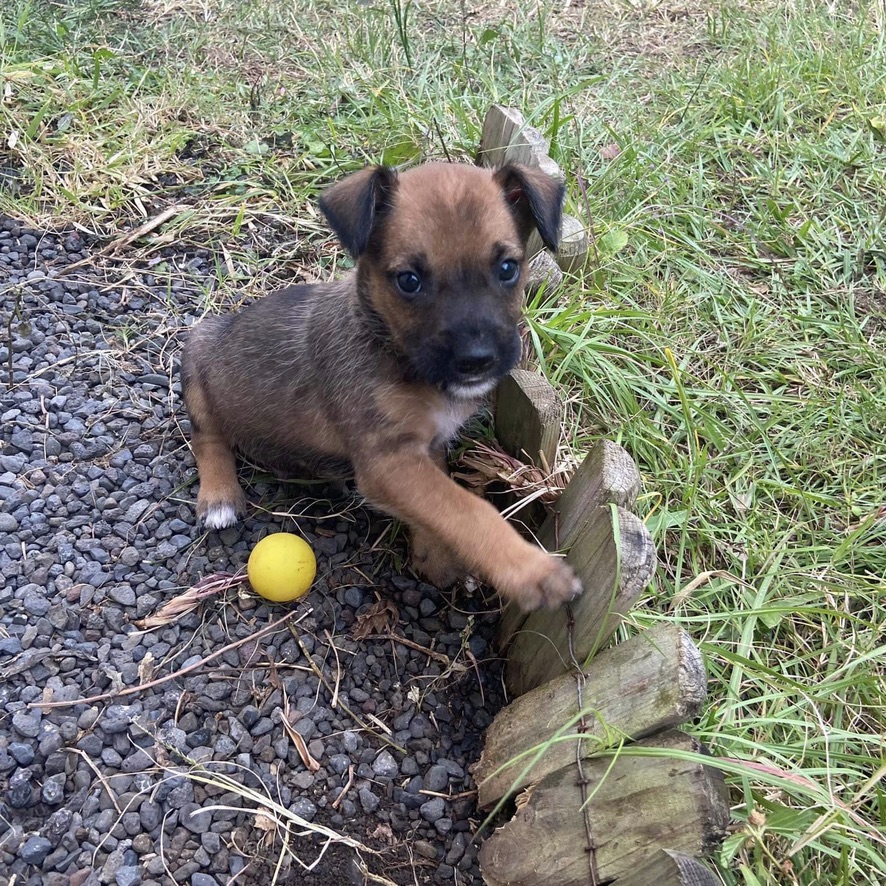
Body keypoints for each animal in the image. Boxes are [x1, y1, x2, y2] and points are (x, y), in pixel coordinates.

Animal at [180, 161, 584, 612]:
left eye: (508, 269)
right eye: (409, 281)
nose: (477, 360)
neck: (396, 353)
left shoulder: (422, 449)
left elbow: (440, 500)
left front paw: (433, 555)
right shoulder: (386, 459)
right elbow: (466, 508)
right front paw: (532, 570)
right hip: (196, 357)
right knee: (206, 436)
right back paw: (218, 496)